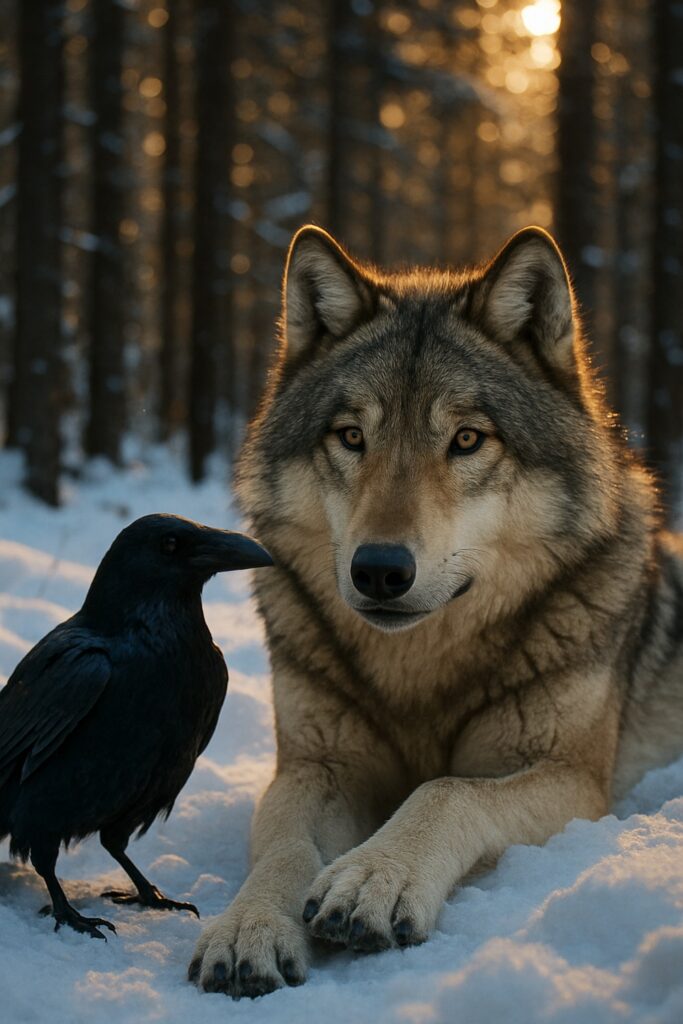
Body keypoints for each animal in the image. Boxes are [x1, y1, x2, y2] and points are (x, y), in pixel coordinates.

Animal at [189, 224, 683, 998]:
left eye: (467, 439)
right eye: (351, 436)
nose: (379, 570)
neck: (416, 670)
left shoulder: (572, 780)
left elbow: (446, 791)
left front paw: (373, 876)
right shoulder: (315, 768)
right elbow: (285, 851)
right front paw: (251, 925)